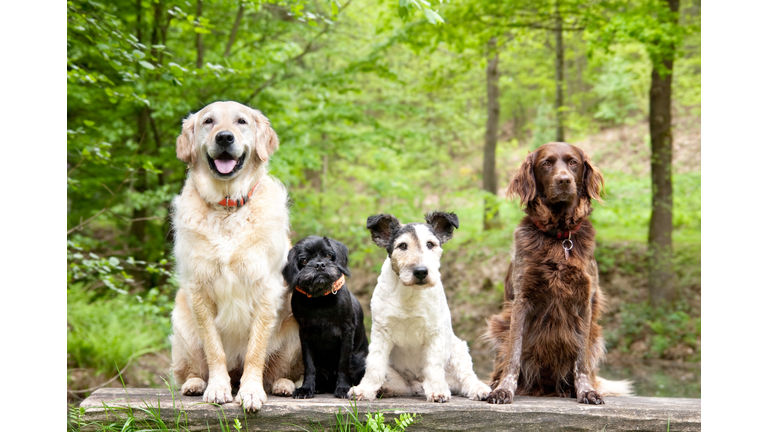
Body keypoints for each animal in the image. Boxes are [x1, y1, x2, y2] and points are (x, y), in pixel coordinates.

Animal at [170, 100, 302, 412]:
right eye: (208, 121)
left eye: (241, 121)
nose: (224, 138)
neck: (228, 206)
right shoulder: (199, 290)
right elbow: (213, 349)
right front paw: (218, 388)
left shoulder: (266, 289)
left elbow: (255, 351)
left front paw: (251, 391)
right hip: (182, 328)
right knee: (192, 368)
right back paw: (195, 384)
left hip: (295, 332)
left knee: (279, 371)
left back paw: (283, 385)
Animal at [282, 236, 368, 398]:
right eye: (304, 260)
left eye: (328, 255)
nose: (320, 265)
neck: (320, 299)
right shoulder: (305, 334)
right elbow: (309, 365)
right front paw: (306, 388)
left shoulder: (347, 332)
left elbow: (343, 363)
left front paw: (343, 388)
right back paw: (318, 387)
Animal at [486, 142, 632, 404]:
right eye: (546, 163)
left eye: (573, 162)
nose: (564, 181)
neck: (559, 237)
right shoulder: (521, 300)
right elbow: (513, 355)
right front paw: (504, 389)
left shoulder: (584, 302)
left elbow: (581, 361)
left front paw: (586, 391)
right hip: (498, 325)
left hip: (596, 335)